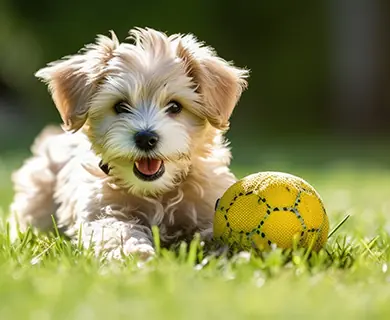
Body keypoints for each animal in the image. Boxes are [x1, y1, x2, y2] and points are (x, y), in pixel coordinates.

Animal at [9, 26, 250, 258]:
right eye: (120, 106)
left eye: (175, 107)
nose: (145, 138)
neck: (156, 192)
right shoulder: (102, 210)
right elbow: (117, 232)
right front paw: (135, 255)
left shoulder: (208, 204)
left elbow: (215, 230)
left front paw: (235, 251)